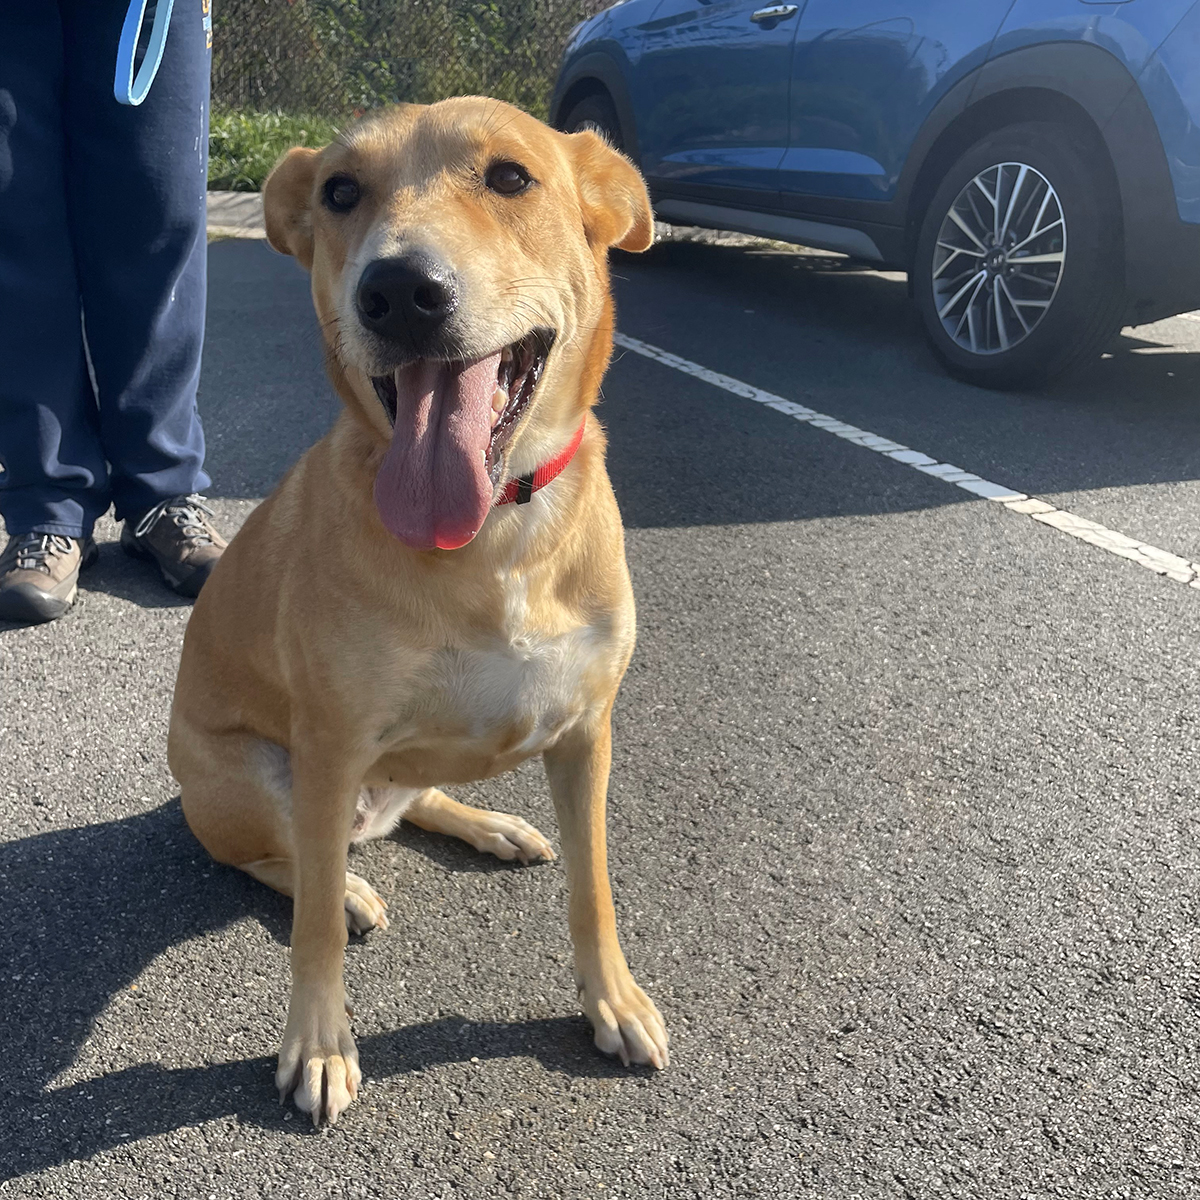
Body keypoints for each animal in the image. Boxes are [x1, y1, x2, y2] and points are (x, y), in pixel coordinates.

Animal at [168, 97, 667, 1125]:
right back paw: (349, 887)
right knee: (285, 864)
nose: (398, 290)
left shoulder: (587, 730)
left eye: (512, 177)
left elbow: (594, 888)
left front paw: (612, 999)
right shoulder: (327, 744)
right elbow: (312, 929)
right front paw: (319, 1045)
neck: (497, 535)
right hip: (252, 775)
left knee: (418, 794)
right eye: (339, 192)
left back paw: (492, 828)